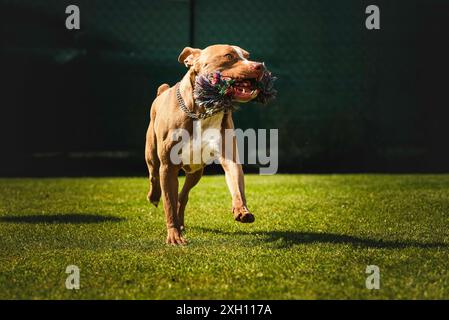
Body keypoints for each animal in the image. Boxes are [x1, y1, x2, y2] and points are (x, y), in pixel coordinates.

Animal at [144, 44, 262, 245]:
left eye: (247, 56)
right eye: (228, 56)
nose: (260, 66)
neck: (203, 110)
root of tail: (162, 92)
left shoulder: (229, 157)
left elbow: (236, 184)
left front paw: (241, 210)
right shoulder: (168, 167)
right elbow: (168, 203)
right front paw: (174, 236)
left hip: (196, 171)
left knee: (182, 196)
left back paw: (181, 221)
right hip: (152, 154)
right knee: (154, 176)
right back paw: (154, 197)